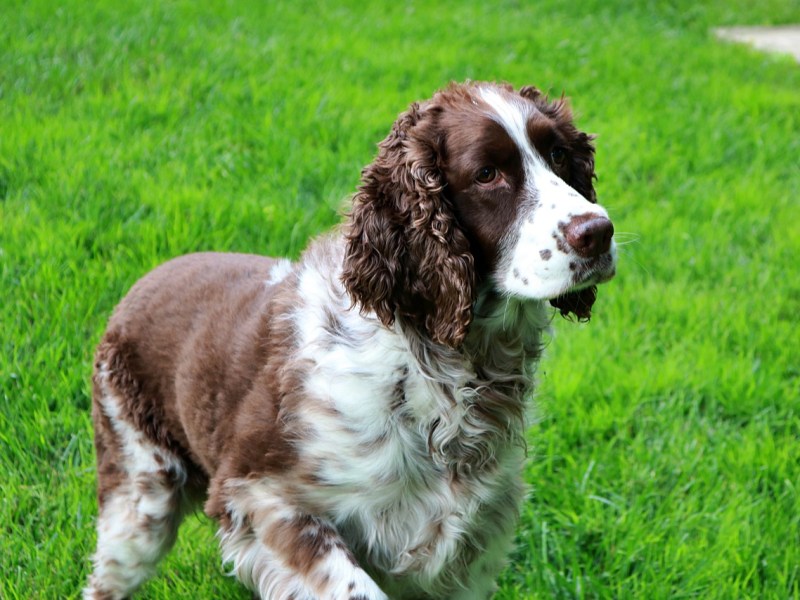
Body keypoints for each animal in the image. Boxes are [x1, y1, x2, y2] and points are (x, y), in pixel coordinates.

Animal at [84, 81, 616, 600]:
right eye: (486, 173)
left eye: (559, 154)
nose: (598, 232)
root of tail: (141, 284)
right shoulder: (259, 495)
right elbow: (354, 585)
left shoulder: (470, 550)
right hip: (139, 501)